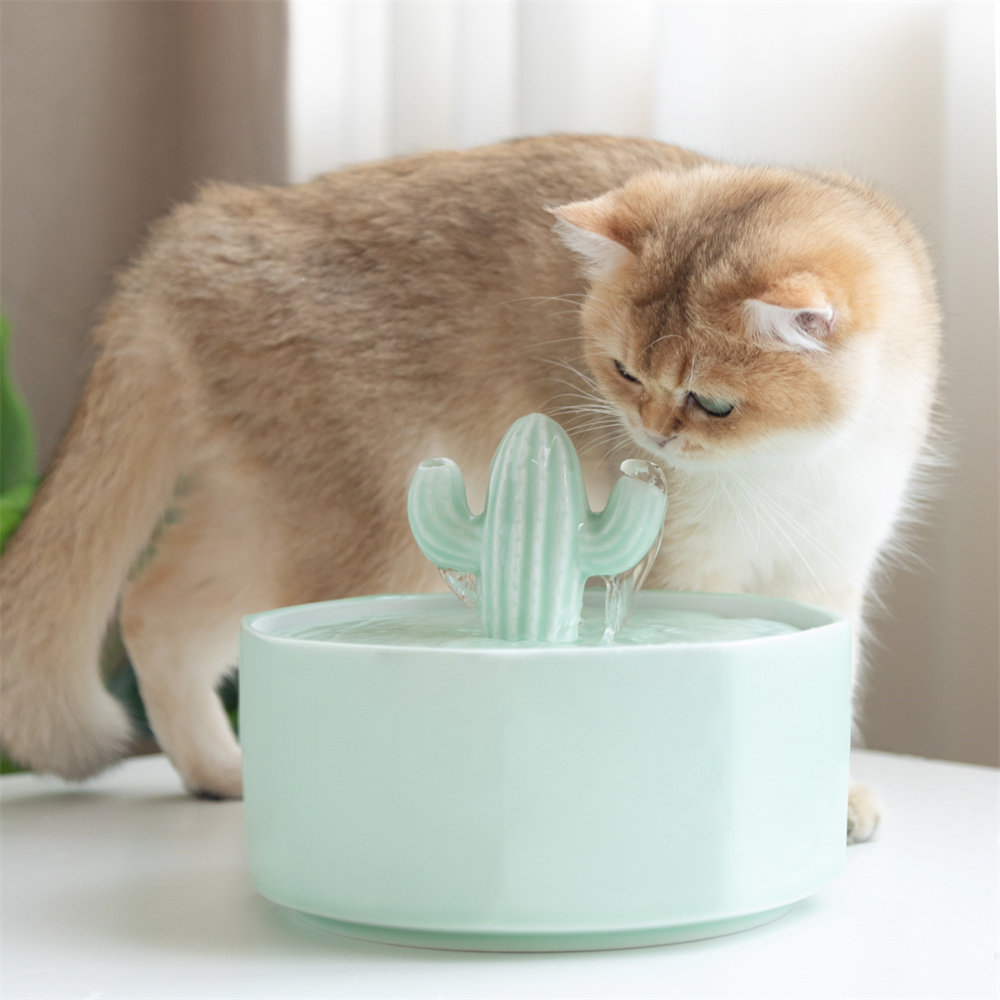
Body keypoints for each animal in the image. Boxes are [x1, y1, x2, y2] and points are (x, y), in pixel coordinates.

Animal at [0, 131, 936, 836]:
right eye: (625, 373)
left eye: (712, 402)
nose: (651, 435)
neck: (788, 464)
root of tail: (194, 233)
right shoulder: (686, 568)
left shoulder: (828, 571)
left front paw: (826, 796)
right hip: (367, 528)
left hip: (262, 510)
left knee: (152, 610)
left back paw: (217, 771)